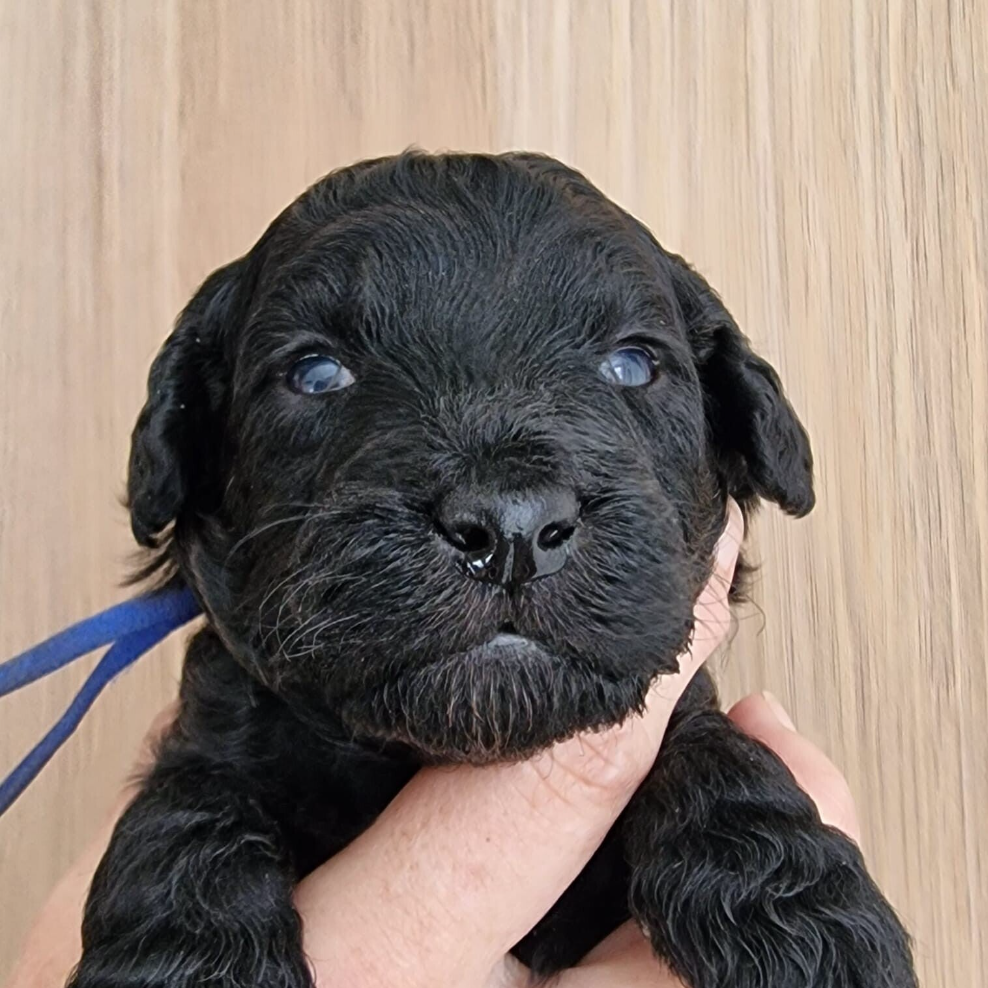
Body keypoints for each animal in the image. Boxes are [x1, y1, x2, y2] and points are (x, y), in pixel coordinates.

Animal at [69, 152, 916, 988]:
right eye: (314, 373)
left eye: (632, 364)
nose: (511, 528)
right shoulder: (219, 729)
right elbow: (188, 802)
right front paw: (187, 961)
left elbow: (707, 742)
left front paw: (801, 916)